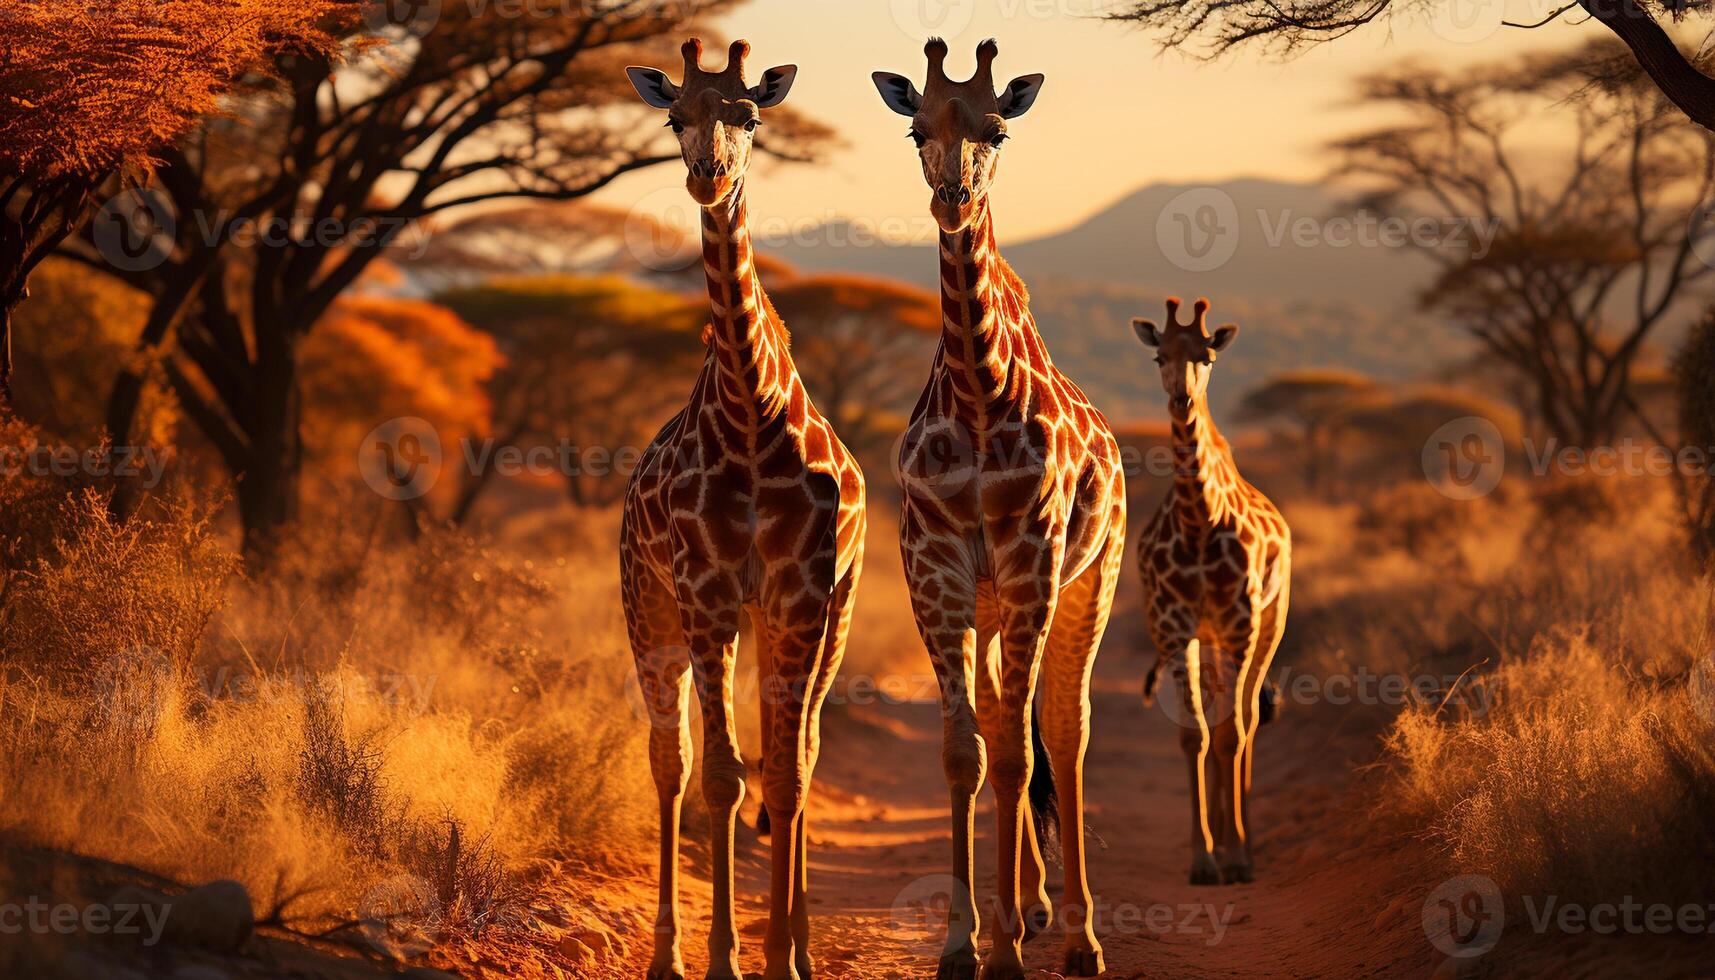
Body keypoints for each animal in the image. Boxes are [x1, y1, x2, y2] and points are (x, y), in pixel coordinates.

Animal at [617, 38, 864, 980]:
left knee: (802, 750)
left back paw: (794, 945)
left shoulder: (798, 597)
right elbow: (720, 775)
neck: (752, 419)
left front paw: (782, 959)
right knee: (671, 760)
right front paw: (723, 959)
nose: (707, 176)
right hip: (646, 605)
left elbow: (785, 774)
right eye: (672, 117)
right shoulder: (705, 596)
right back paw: (667, 956)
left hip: (826, 619)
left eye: (750, 114)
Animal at [871, 38, 1125, 980]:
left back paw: (1078, 937)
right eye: (915, 128)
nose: (952, 200)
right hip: (990, 605)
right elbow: (965, 751)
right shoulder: (937, 572)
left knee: (1063, 725)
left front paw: (1009, 947)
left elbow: (1018, 751)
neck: (980, 398)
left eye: (999, 130)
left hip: (1086, 583)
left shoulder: (1029, 565)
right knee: (1003, 723)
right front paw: (959, 945)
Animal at [1131, 296, 1289, 892]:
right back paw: (1220, 839)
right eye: (1159, 356)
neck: (1199, 522)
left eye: (1208, 357)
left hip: (1268, 624)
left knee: (1245, 722)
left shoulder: (1240, 625)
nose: (1181, 400)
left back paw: (1239, 841)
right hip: (1207, 639)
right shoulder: (1175, 629)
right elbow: (1195, 735)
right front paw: (1203, 860)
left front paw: (1237, 857)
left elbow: (1231, 733)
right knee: (1224, 719)